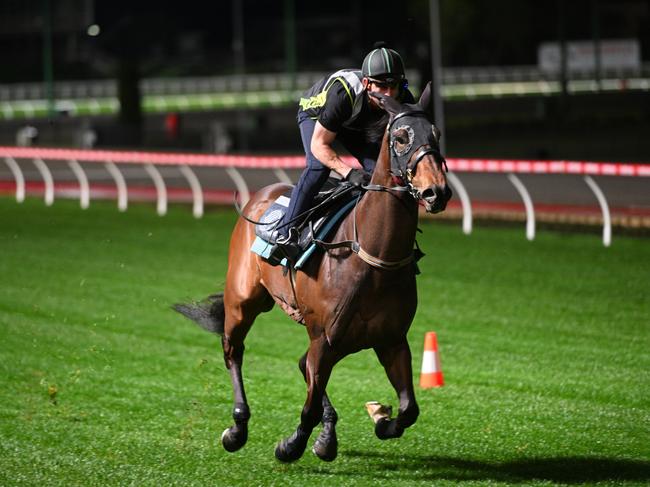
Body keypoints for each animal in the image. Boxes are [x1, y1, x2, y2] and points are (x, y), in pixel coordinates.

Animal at [173, 85, 450, 466]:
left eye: (435, 134)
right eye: (401, 137)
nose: (437, 191)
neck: (373, 256)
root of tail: (261, 196)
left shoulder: (391, 340)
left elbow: (409, 409)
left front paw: (381, 418)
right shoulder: (325, 337)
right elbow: (309, 407)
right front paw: (290, 445)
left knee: (303, 365)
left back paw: (327, 435)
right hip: (243, 301)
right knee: (233, 350)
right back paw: (238, 427)